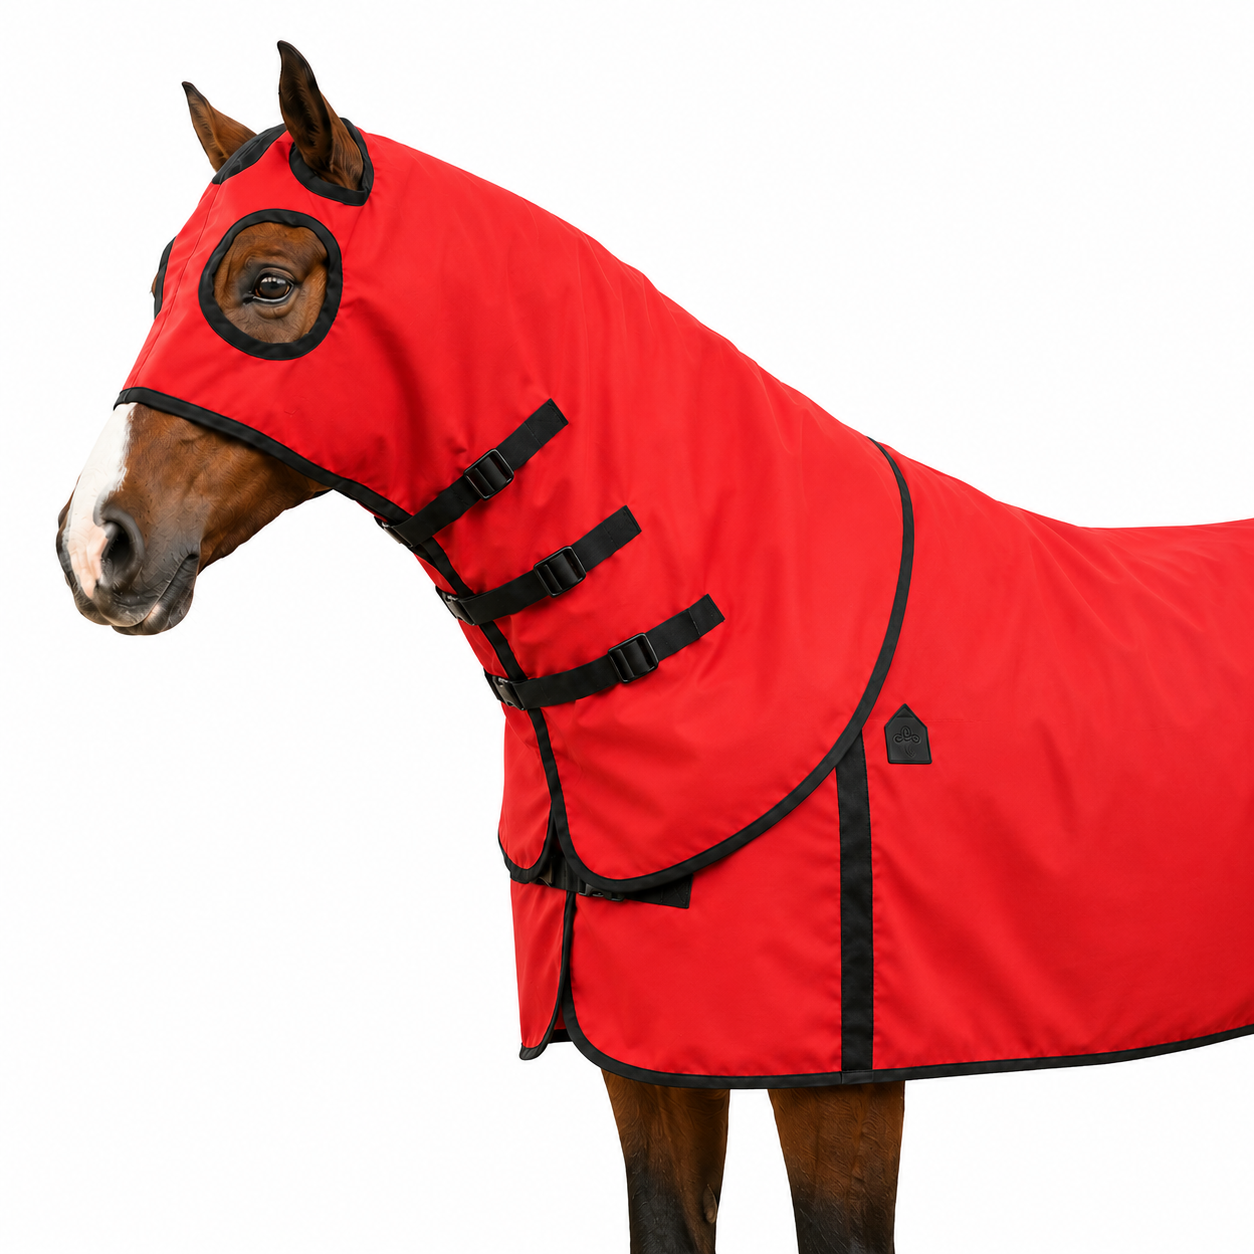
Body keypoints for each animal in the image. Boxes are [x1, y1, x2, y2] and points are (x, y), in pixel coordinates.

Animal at [57, 41, 1254, 1254]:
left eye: (266, 283)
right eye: (159, 288)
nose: (94, 541)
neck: (746, 620)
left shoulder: (843, 1087)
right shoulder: (647, 1064)